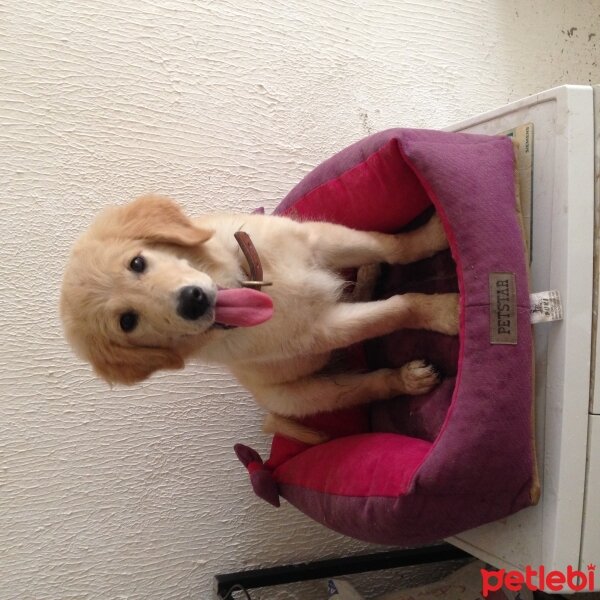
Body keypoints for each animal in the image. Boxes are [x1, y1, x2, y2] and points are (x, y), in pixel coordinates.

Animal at [61, 195, 458, 442]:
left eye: (137, 262)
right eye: (128, 321)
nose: (193, 302)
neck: (251, 279)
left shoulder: (321, 240)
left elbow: (392, 246)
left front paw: (435, 233)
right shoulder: (323, 328)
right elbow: (397, 309)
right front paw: (448, 311)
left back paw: (368, 275)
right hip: (308, 395)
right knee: (370, 383)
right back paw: (407, 378)